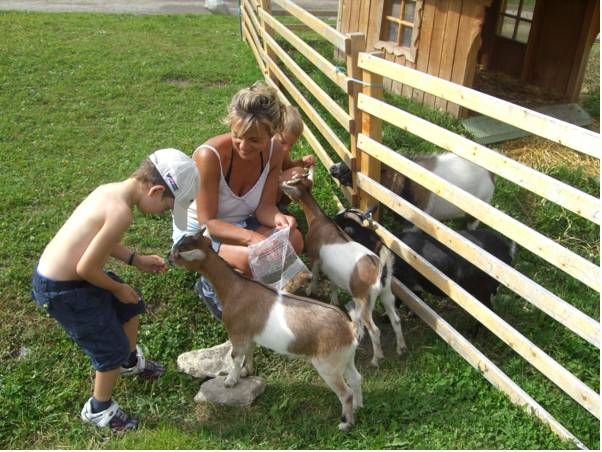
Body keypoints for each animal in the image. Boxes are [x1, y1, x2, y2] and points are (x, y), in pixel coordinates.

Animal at [169, 229, 364, 432]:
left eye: (181, 251)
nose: (168, 258)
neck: (234, 289)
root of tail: (349, 328)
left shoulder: (236, 332)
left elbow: (235, 356)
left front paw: (230, 381)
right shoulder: (250, 335)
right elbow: (249, 352)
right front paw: (247, 372)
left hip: (328, 366)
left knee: (346, 393)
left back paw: (345, 424)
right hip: (345, 359)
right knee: (357, 379)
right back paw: (359, 406)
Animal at [280, 168, 406, 367]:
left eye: (291, 183)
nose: (280, 184)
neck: (318, 220)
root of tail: (380, 272)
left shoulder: (315, 258)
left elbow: (314, 274)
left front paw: (309, 290)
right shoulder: (333, 271)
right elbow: (333, 284)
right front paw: (333, 301)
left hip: (364, 301)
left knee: (375, 330)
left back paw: (376, 359)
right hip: (386, 293)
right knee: (396, 319)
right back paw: (401, 348)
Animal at [334, 207, 516, 337]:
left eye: (340, 223)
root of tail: (507, 249)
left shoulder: (406, 283)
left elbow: (399, 301)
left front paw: (386, 317)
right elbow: (417, 299)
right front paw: (412, 314)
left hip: (480, 293)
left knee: (489, 314)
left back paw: (473, 333)